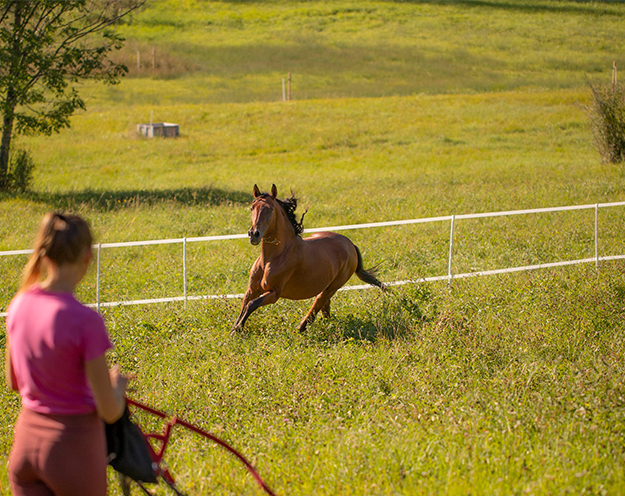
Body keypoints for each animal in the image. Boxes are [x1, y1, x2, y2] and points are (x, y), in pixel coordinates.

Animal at [232, 184, 382, 332]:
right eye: (252, 207)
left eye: (270, 209)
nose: (254, 234)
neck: (272, 258)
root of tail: (351, 244)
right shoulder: (252, 290)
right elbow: (244, 304)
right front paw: (234, 329)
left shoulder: (274, 292)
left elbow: (251, 304)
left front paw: (238, 329)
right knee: (325, 307)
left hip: (334, 285)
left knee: (319, 301)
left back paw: (301, 327)